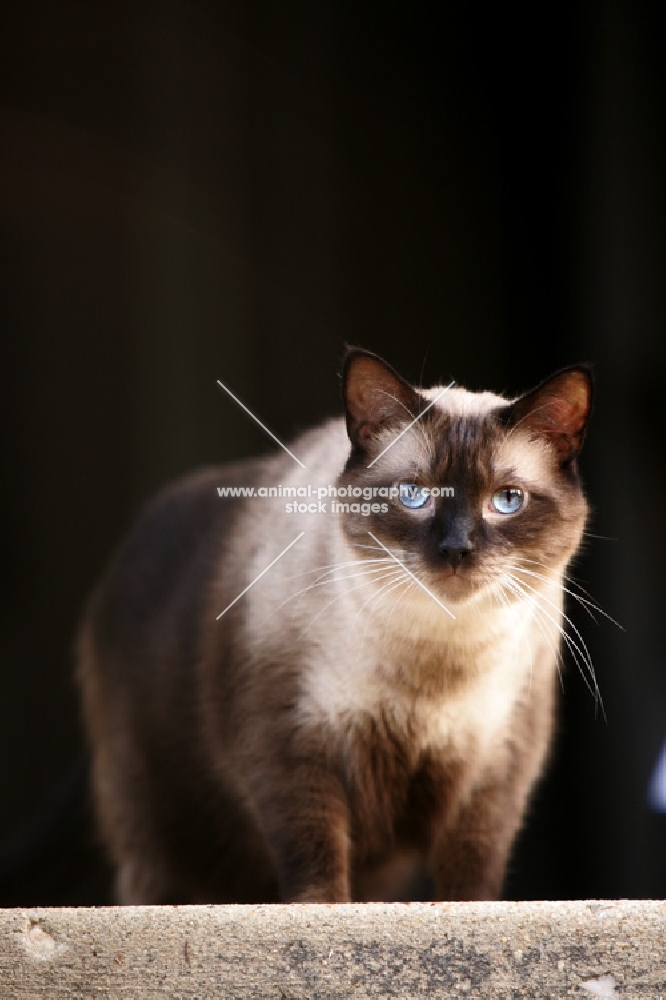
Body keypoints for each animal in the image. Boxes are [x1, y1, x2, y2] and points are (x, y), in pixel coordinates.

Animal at [76, 348, 592, 904]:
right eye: (414, 495)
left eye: (507, 501)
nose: (457, 550)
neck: (434, 662)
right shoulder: (294, 744)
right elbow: (314, 855)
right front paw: (319, 912)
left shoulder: (496, 768)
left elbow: (472, 870)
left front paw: (462, 913)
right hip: (167, 837)